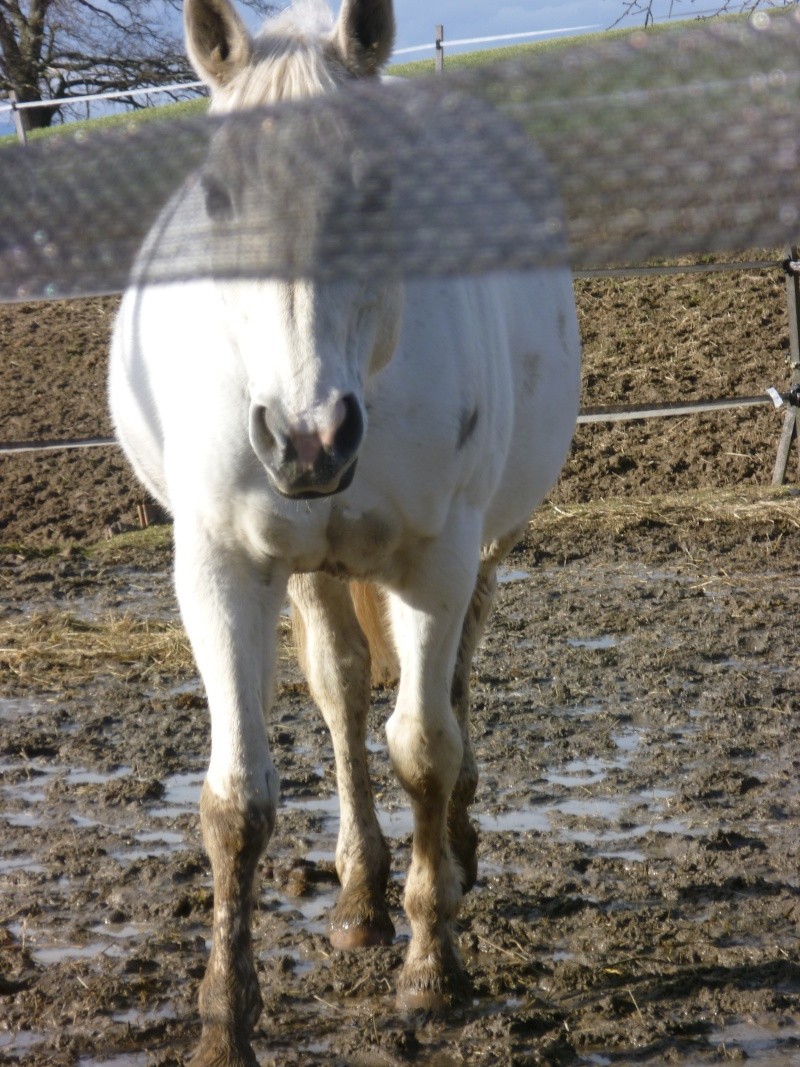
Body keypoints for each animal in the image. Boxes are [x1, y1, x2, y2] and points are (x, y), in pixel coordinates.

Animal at [108, 2, 584, 1067]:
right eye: (217, 194)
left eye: (377, 188)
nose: (307, 438)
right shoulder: (222, 566)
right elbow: (237, 798)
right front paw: (224, 1018)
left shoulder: (437, 558)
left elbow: (425, 749)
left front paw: (433, 968)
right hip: (312, 569)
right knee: (341, 690)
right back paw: (361, 894)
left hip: (479, 549)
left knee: (447, 695)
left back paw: (450, 861)